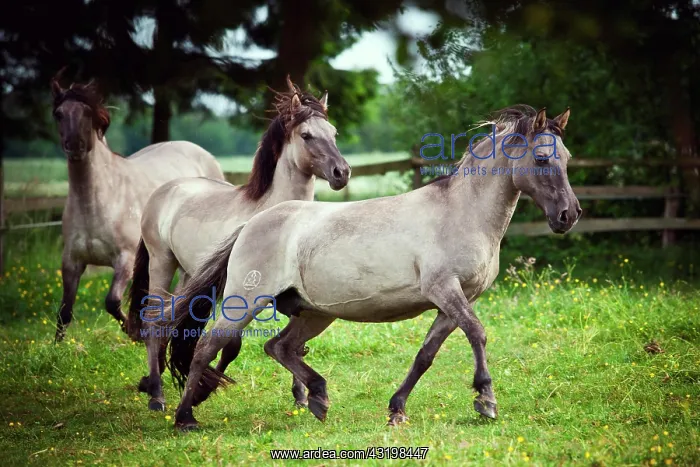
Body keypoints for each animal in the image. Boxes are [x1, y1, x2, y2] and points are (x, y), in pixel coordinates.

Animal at [50, 76, 225, 343]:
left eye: (88, 112)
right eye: (59, 114)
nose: (75, 146)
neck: (96, 203)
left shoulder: (125, 258)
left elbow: (112, 301)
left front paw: (134, 332)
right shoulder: (71, 262)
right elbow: (64, 311)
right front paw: (57, 347)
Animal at [126, 78, 351, 412]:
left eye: (333, 132)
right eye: (306, 135)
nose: (342, 173)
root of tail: (163, 191)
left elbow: (295, 344)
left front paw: (300, 397)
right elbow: (232, 345)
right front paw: (205, 390)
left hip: (190, 274)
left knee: (173, 319)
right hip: (161, 262)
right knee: (154, 322)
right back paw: (156, 395)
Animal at [165, 105, 581, 430]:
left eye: (566, 159)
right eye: (542, 159)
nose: (569, 215)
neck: (462, 213)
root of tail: (252, 224)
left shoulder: (455, 301)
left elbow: (426, 355)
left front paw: (397, 409)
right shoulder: (445, 290)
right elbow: (477, 333)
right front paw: (486, 401)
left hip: (315, 313)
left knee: (279, 347)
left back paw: (318, 399)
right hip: (244, 302)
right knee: (207, 347)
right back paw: (185, 417)